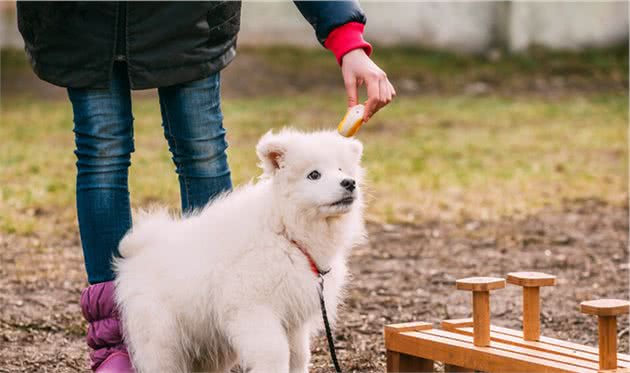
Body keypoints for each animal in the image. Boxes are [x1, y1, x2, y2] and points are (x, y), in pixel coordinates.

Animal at [115, 129, 366, 372]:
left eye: (341, 169)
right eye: (314, 175)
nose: (349, 182)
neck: (284, 230)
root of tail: (138, 250)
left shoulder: (293, 318)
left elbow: (299, 356)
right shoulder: (254, 308)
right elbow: (275, 354)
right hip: (161, 340)